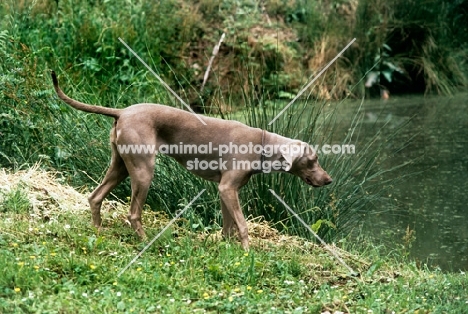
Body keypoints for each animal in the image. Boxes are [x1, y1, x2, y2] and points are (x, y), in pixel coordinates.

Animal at [51, 71, 330, 250]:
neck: (262, 144)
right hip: (143, 170)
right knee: (133, 212)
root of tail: (122, 111)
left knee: (95, 196)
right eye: (313, 159)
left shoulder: (225, 191)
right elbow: (242, 225)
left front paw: (228, 251)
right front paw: (248, 252)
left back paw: (98, 232)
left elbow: (228, 227)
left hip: (120, 165)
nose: (329, 180)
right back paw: (145, 241)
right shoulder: (227, 188)